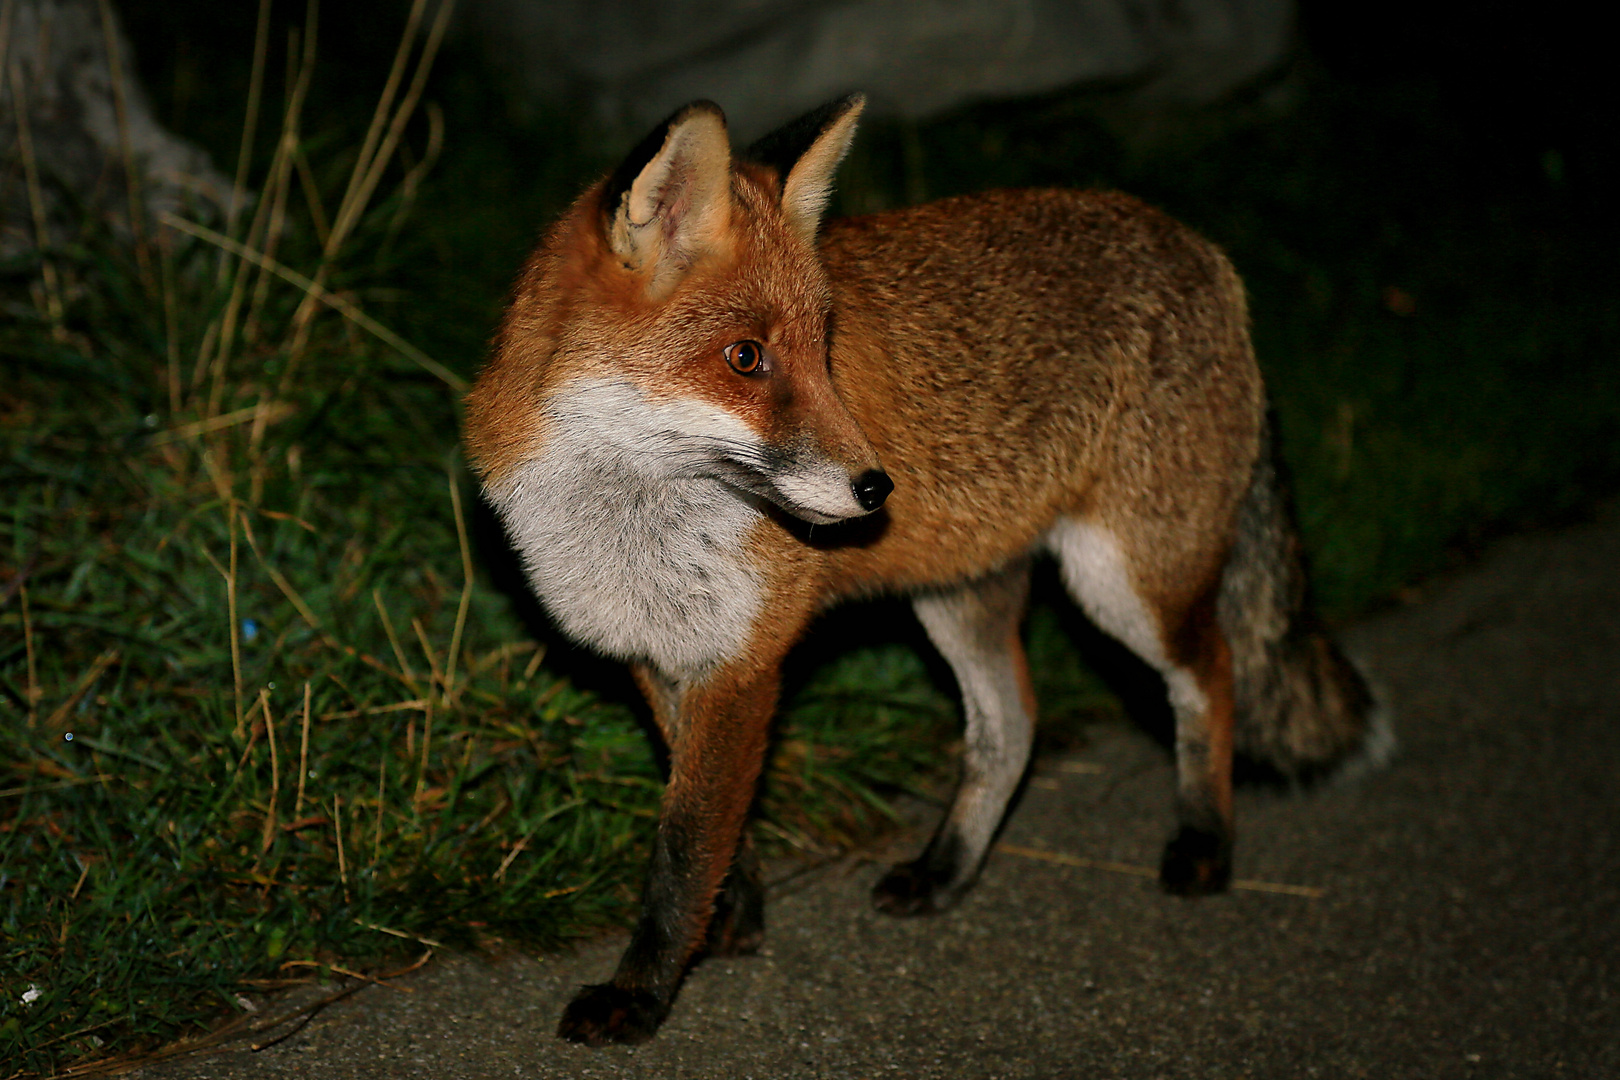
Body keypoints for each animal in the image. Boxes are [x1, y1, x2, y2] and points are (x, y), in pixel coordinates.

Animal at [463, 95, 1386, 1049]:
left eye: (825, 347)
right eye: (746, 357)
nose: (877, 488)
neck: (626, 512)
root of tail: (1202, 249)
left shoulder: (743, 664)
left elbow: (685, 850)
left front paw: (643, 992)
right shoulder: (660, 653)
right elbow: (712, 822)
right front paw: (730, 922)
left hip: (1125, 583)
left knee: (1211, 672)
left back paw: (1205, 844)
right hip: (958, 594)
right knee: (1013, 725)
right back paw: (946, 872)